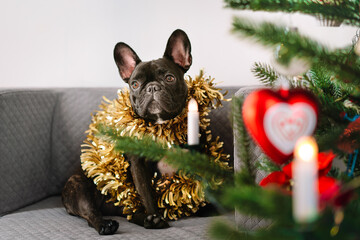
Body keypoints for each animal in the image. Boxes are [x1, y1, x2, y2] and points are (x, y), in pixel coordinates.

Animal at [60, 29, 193, 234]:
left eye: (170, 78)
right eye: (135, 84)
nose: (152, 87)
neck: (159, 126)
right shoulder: (138, 165)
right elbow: (146, 193)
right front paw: (156, 217)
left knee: (129, 211)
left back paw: (144, 220)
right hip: (79, 187)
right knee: (90, 213)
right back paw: (107, 225)